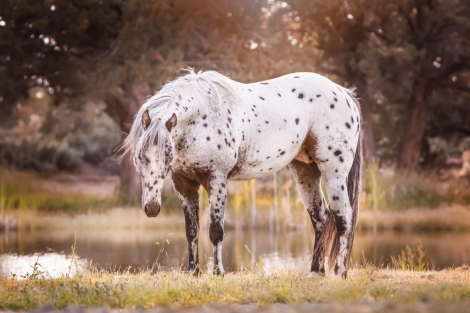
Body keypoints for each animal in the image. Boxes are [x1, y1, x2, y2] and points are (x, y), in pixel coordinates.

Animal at [122, 67, 364, 276]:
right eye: (140, 156)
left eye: (167, 155)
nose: (152, 208)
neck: (201, 117)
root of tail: (343, 93)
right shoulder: (184, 183)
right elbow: (191, 230)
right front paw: (193, 272)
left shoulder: (217, 179)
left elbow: (215, 231)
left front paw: (218, 272)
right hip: (305, 171)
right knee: (320, 217)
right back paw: (316, 272)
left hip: (334, 173)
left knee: (344, 219)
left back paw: (339, 273)